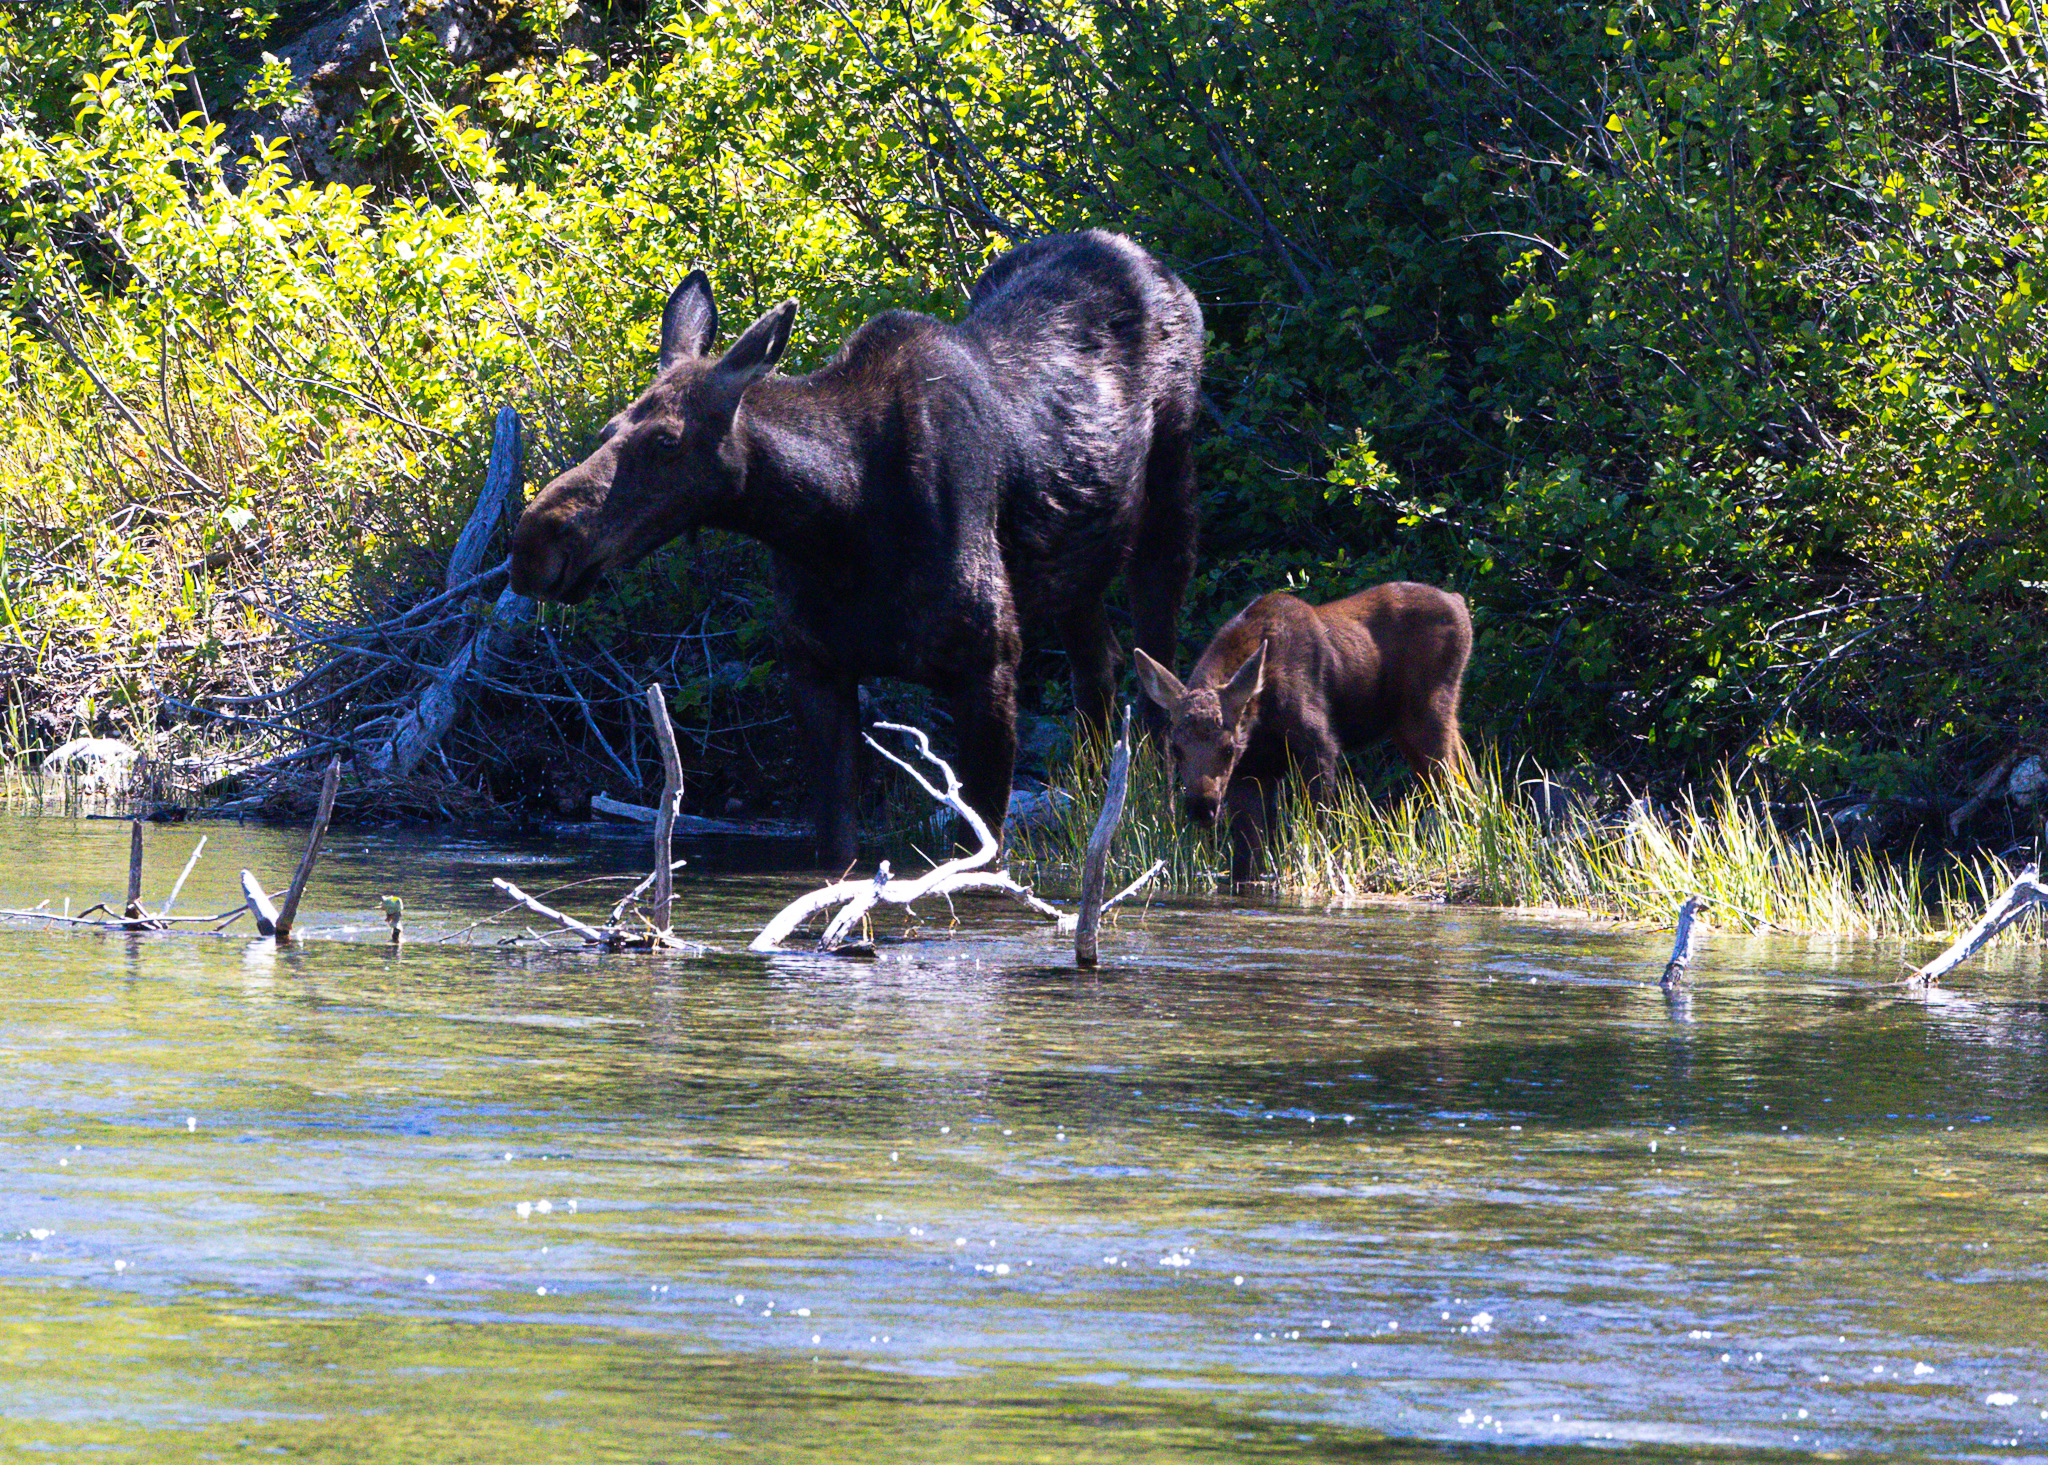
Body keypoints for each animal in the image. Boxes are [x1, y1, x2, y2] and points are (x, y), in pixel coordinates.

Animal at [510, 231, 1202, 866]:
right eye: (607, 430)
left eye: (666, 442)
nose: (533, 544)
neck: (838, 525)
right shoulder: (817, 669)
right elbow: (836, 858)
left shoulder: (989, 666)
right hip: (1076, 564)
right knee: (1098, 663)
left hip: (1170, 500)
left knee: (1156, 662)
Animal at [1133, 582, 1472, 885]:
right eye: (1176, 749)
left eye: (1228, 749)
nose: (1201, 807)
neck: (1259, 719)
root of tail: (1461, 605)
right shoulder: (1251, 770)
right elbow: (1248, 855)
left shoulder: (1318, 744)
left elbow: (1315, 826)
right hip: (1412, 724)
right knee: (1468, 778)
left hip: (1427, 711)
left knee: (1452, 783)